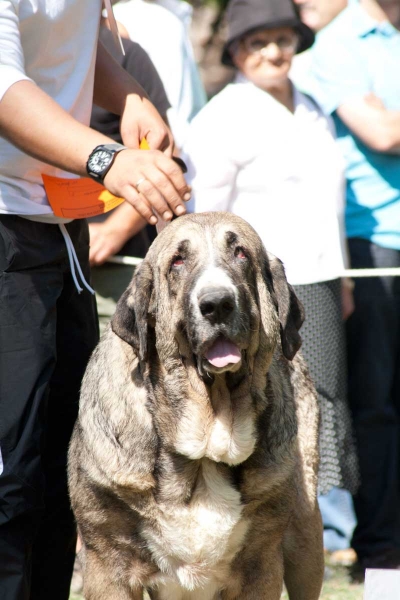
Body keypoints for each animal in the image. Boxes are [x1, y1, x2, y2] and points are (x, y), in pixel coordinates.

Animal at [68, 211, 324, 600]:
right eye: (178, 261)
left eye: (240, 253)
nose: (217, 303)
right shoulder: (107, 565)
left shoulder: (261, 565)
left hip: (307, 539)